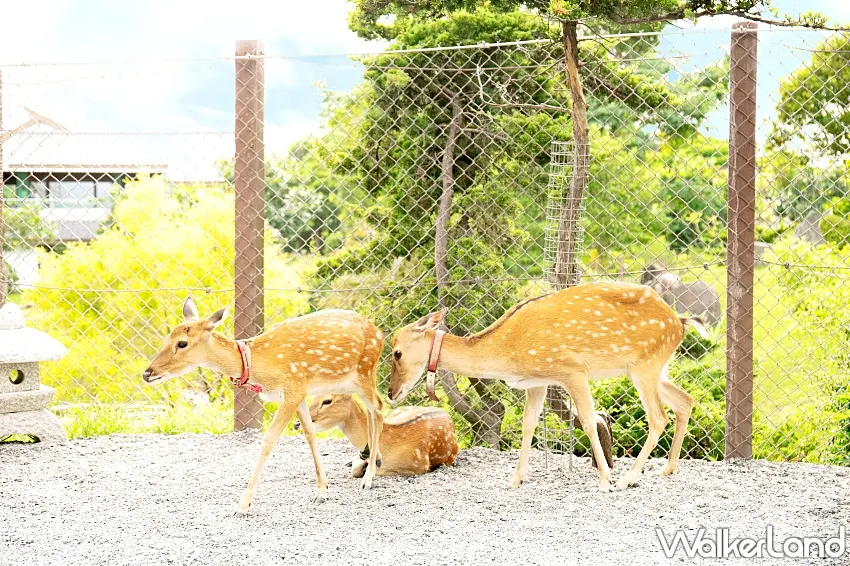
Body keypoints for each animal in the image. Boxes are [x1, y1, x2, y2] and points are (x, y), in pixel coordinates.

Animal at [141, 297, 385, 517]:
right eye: (166, 338)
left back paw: (369, 476)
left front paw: (242, 506)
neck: (259, 364)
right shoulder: (299, 392)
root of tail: (380, 333)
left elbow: (268, 441)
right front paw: (321, 492)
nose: (147, 373)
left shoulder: (291, 390)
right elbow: (309, 434)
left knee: (379, 409)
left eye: (182, 343)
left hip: (365, 372)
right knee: (372, 409)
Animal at [388, 281, 705, 493]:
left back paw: (629, 478)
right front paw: (516, 479)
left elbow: (588, 421)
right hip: (655, 367)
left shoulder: (573, 370)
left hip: (645, 365)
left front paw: (605, 481)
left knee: (658, 417)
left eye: (397, 353)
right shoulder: (536, 382)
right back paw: (668, 469)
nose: (391, 393)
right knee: (685, 401)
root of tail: (680, 322)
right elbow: (529, 423)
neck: (508, 349)